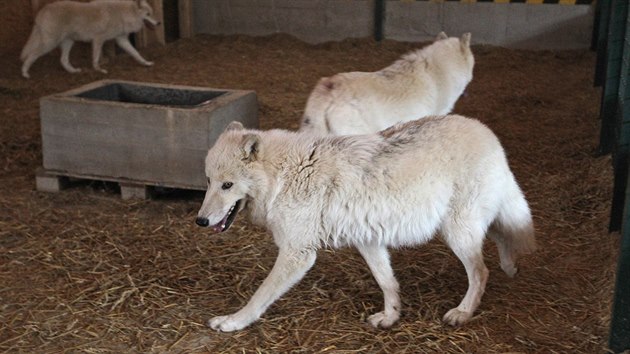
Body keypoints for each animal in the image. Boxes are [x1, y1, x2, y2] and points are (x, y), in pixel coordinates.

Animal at [20, 0, 160, 78]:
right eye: (148, 14)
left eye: (152, 12)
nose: (159, 23)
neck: (123, 14)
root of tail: (42, 10)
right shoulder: (98, 39)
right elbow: (96, 58)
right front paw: (99, 70)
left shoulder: (121, 40)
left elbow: (136, 54)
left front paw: (146, 63)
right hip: (50, 43)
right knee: (31, 55)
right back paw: (25, 73)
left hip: (68, 42)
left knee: (63, 60)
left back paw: (74, 71)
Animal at [195, 114, 536, 332]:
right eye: (209, 182)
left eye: (227, 185)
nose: (200, 220)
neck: (283, 176)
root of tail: (489, 134)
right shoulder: (369, 241)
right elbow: (388, 282)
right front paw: (390, 317)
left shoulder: (298, 254)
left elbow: (260, 295)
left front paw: (233, 322)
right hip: (467, 226)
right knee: (504, 237)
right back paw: (511, 266)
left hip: (457, 232)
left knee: (481, 270)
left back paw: (463, 312)